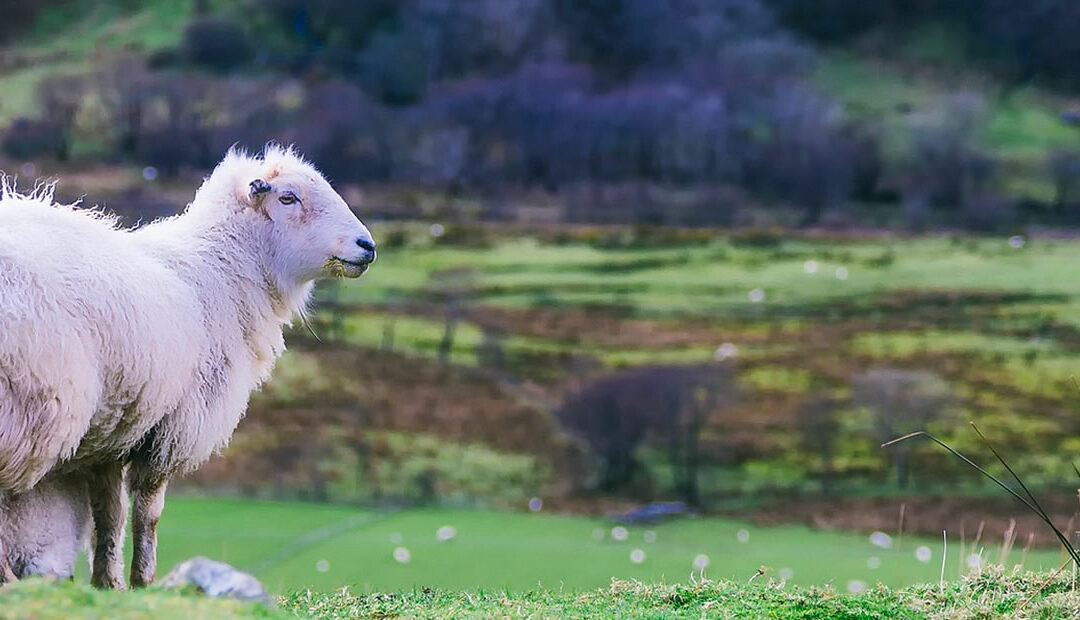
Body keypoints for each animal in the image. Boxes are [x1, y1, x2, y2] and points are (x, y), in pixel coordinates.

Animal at [0, 145, 378, 587]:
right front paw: (143, 582)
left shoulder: (113, 430)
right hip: (28, 407)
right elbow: (148, 514)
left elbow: (110, 516)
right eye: (288, 198)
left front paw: (108, 585)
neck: (221, 273)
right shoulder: (172, 427)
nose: (367, 245)